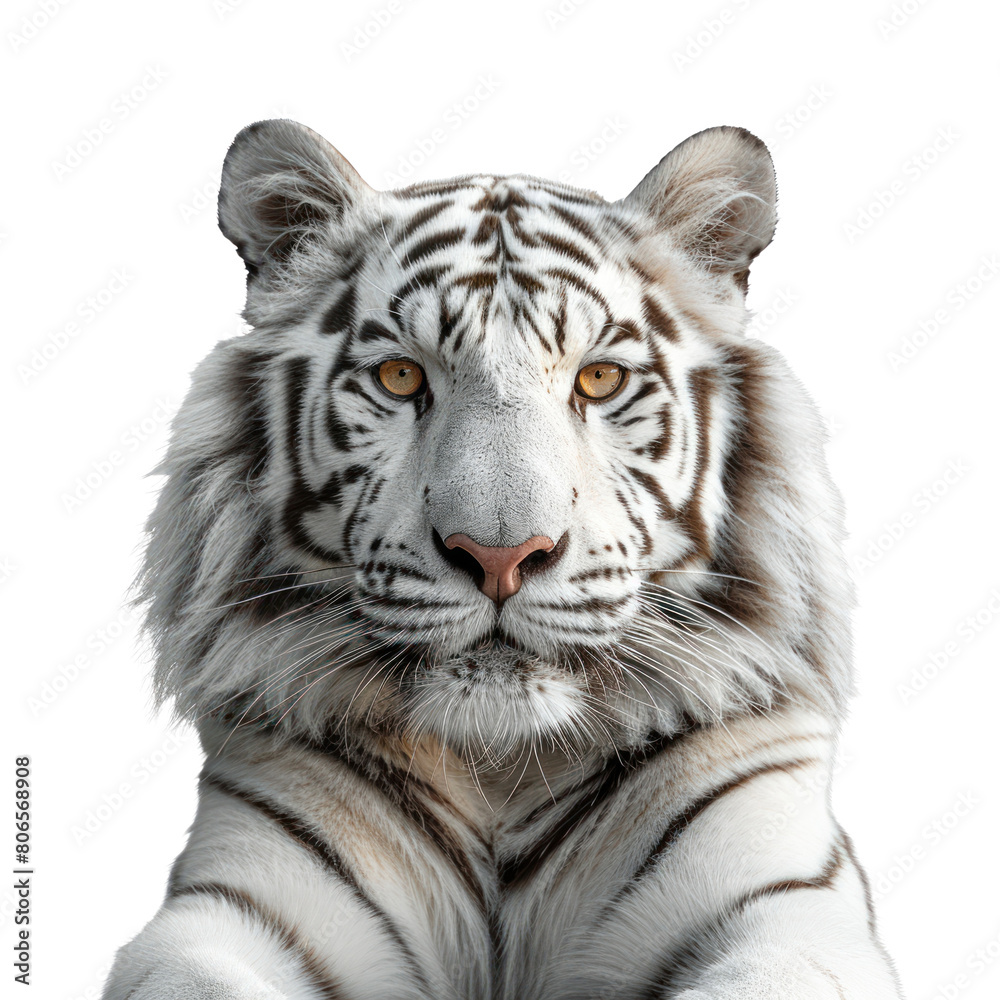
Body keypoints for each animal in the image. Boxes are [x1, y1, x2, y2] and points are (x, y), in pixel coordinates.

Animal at [101, 119, 903, 1000]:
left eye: (599, 377)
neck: (500, 765)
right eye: (400, 376)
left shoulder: (788, 905)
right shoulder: (227, 902)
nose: (499, 555)